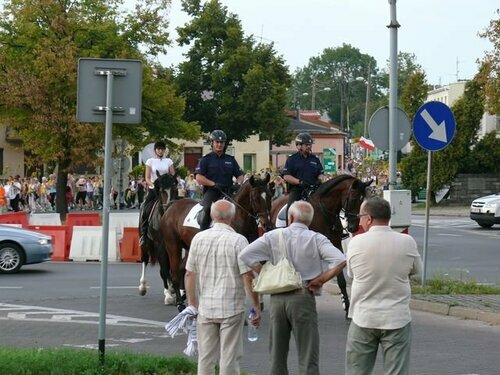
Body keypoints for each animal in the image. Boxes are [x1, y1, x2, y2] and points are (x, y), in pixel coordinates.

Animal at [162, 174, 276, 312]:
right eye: (255, 198)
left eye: (269, 195)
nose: (267, 225)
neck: (239, 217)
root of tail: (172, 206)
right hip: (173, 246)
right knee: (174, 273)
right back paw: (179, 304)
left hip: (189, 248)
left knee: (181, 269)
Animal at [270, 176, 372, 318]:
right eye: (353, 200)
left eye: (363, 200)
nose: (354, 227)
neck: (324, 212)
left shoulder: (335, 245)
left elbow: (340, 279)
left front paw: (346, 306)